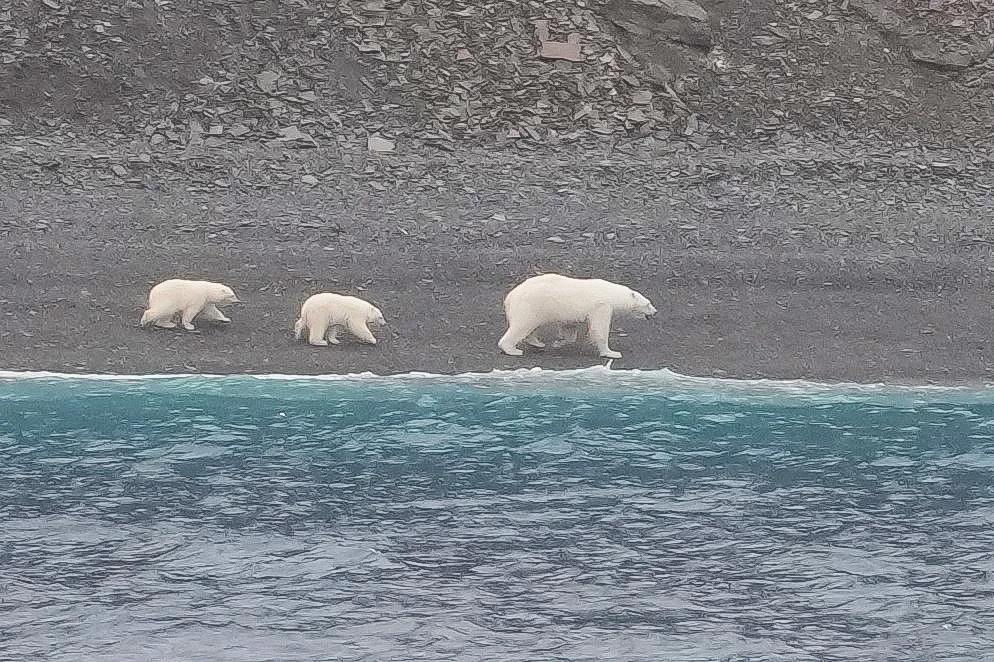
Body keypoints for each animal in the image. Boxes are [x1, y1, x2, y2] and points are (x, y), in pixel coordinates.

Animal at [497, 273, 657, 359]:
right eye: (648, 304)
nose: (655, 311)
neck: (612, 294)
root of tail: (510, 297)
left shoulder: (571, 313)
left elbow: (569, 328)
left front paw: (559, 342)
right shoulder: (602, 306)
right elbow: (599, 329)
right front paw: (611, 352)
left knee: (532, 326)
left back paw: (537, 342)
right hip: (529, 306)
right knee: (521, 326)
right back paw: (513, 349)